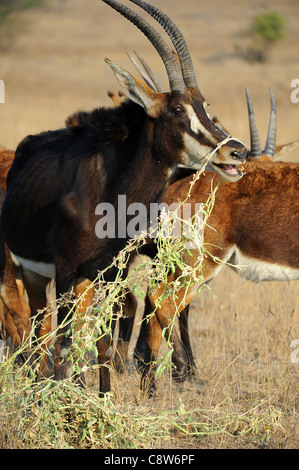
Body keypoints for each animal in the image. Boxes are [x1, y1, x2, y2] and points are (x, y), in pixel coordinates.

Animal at [0, 0, 248, 394]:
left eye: (205, 105)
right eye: (178, 109)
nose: (237, 151)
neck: (110, 192)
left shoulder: (110, 273)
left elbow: (102, 338)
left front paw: (103, 397)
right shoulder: (66, 271)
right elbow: (65, 340)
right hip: (33, 272)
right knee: (39, 327)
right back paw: (42, 389)